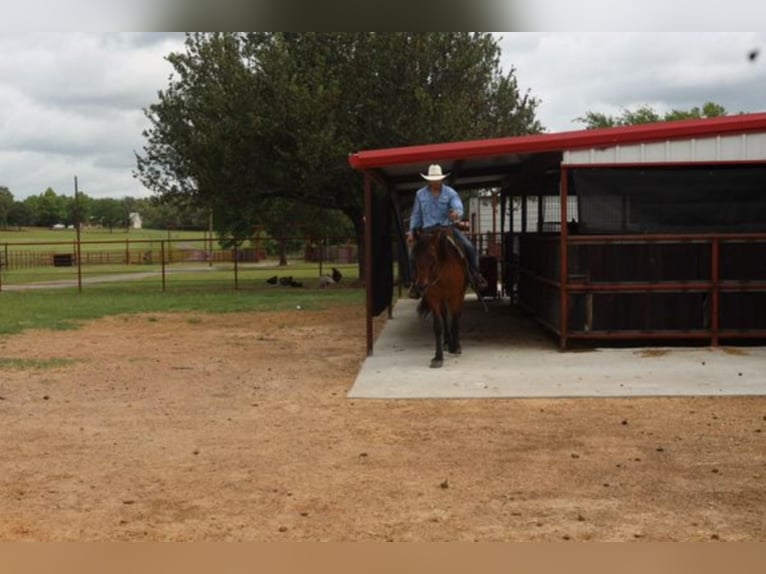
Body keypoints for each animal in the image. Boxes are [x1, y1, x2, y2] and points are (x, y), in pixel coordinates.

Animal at [414, 226, 468, 368]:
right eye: (414, 257)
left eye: (432, 257)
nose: (421, 286)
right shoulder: (433, 298)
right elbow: (438, 326)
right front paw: (438, 357)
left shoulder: (455, 296)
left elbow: (455, 320)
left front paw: (456, 347)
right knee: (444, 315)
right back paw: (447, 342)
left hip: (459, 296)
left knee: (456, 316)